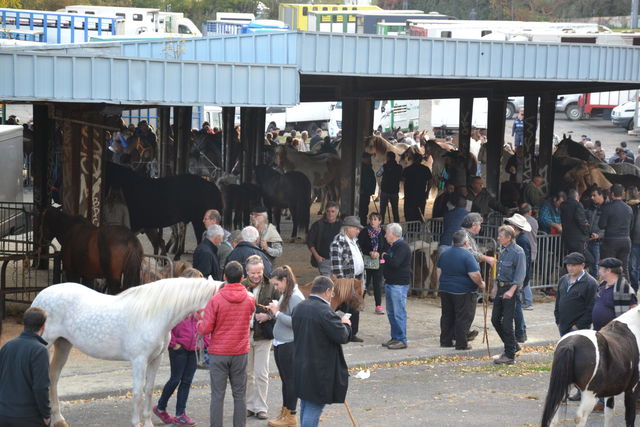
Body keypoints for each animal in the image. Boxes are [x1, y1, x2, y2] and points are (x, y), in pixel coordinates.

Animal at [31, 278, 224, 427]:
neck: (154, 314)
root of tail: (41, 297)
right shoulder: (139, 361)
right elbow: (138, 393)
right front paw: (136, 423)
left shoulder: (156, 359)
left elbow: (149, 390)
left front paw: (148, 423)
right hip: (46, 344)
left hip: (64, 345)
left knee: (53, 377)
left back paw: (59, 419)